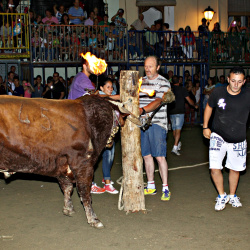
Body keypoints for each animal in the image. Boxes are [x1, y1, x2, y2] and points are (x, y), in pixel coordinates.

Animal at [0, 94, 127, 229]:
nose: (112, 141)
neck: (91, 120)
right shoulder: (83, 163)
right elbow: (85, 192)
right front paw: (93, 219)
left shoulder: (61, 163)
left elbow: (67, 187)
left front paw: (68, 209)